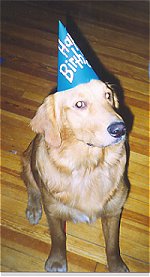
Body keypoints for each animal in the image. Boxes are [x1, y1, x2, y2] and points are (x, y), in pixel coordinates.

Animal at [21, 79, 129, 272]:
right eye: (79, 104)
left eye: (108, 95)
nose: (120, 129)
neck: (88, 167)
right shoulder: (53, 211)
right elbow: (58, 238)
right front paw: (57, 261)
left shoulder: (114, 211)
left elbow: (112, 245)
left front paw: (116, 266)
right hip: (28, 162)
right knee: (32, 188)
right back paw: (33, 209)